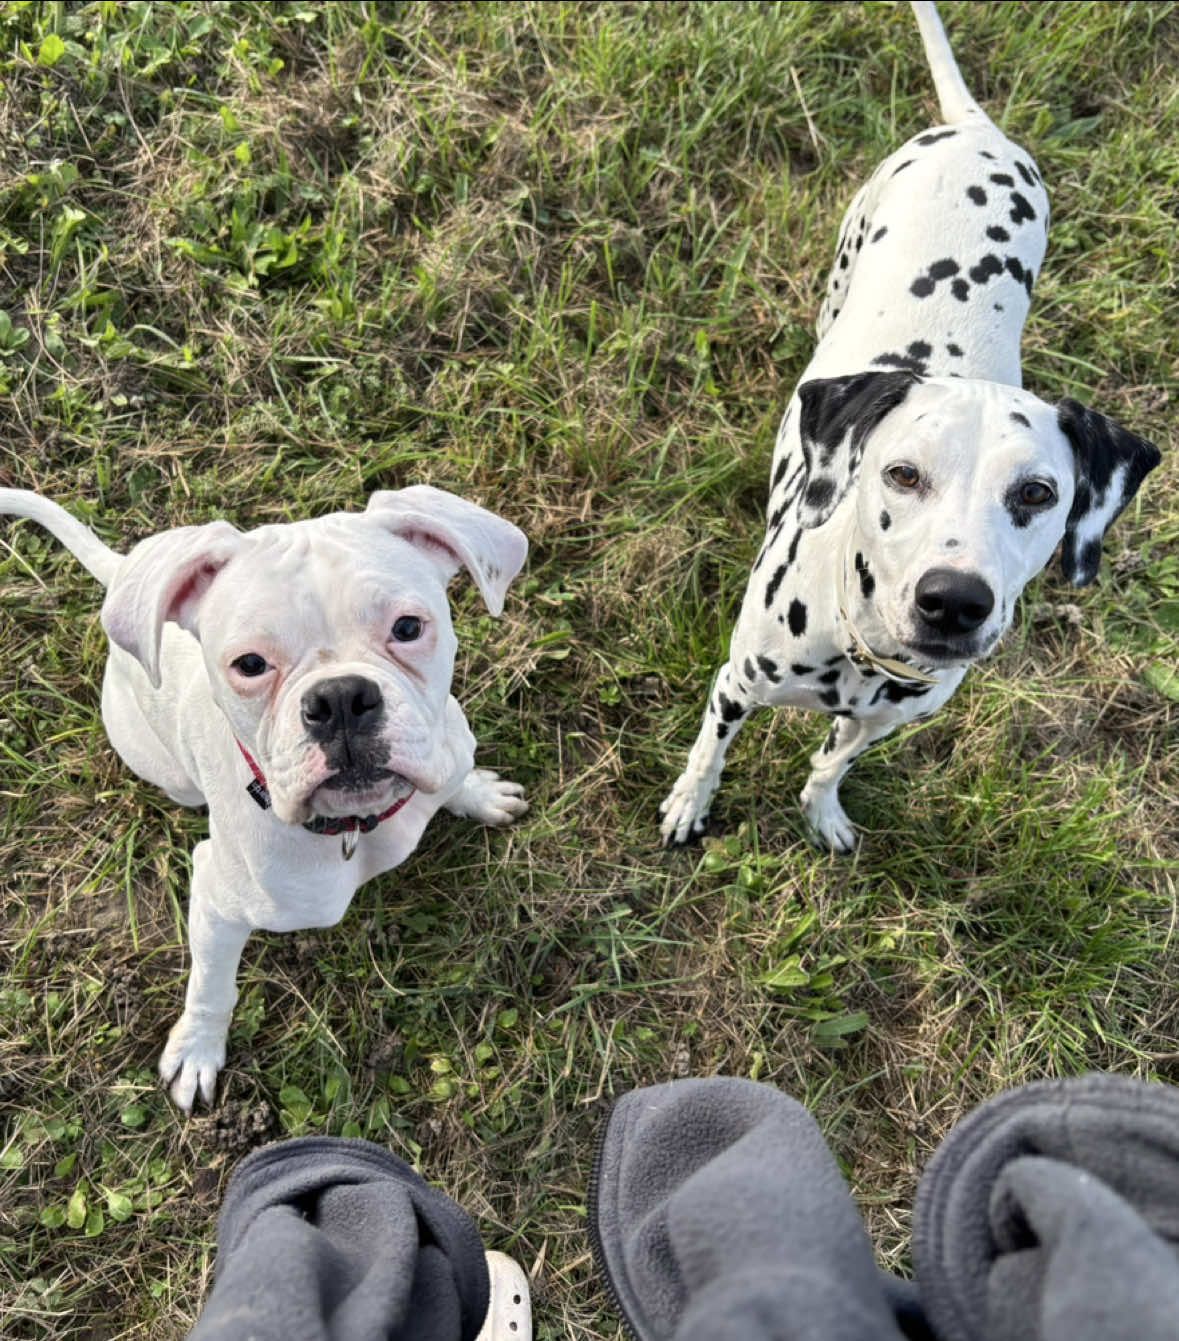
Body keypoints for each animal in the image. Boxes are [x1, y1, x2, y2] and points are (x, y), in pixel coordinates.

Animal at [0, 485, 525, 1110]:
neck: (358, 825)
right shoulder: (216, 900)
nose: (341, 699)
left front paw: (477, 793)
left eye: (407, 627)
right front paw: (198, 1048)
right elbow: (212, 983)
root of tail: (125, 572)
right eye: (250, 665)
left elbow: (453, 778)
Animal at [659, 0, 1164, 852]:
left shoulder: (881, 724)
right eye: (901, 473)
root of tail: (974, 130)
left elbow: (831, 761)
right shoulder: (734, 685)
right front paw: (689, 802)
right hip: (845, 257)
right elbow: (708, 750)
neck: (859, 653)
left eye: (1036, 494)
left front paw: (821, 809)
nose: (952, 601)